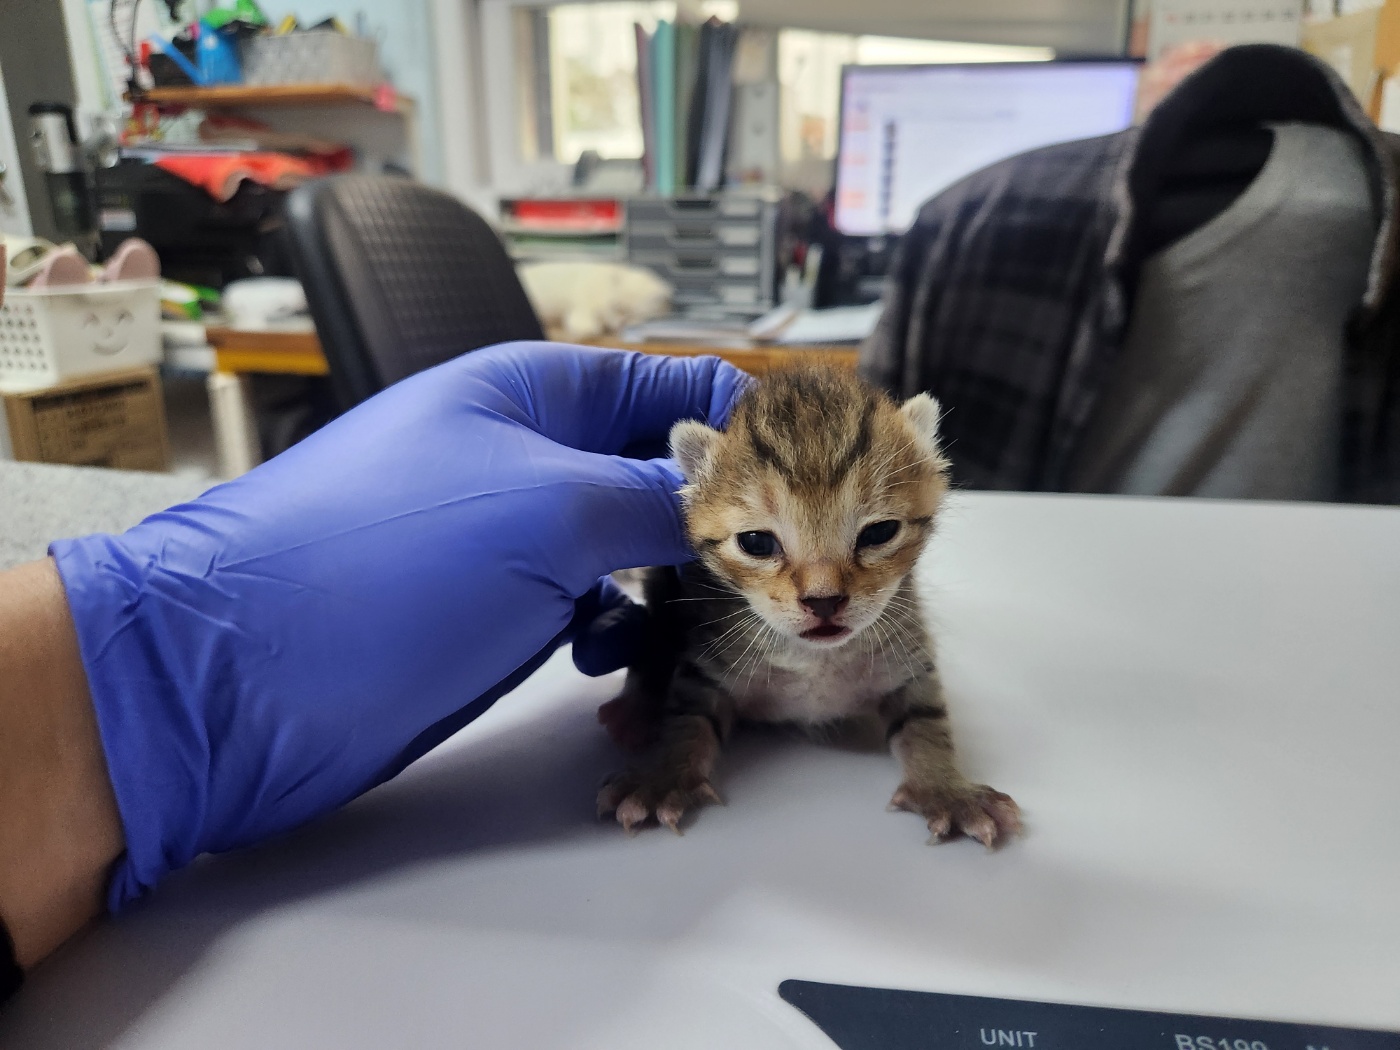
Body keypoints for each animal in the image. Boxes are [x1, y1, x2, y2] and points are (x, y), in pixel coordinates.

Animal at [596, 366, 1024, 851]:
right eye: (756, 542)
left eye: (880, 533)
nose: (824, 600)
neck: (816, 659)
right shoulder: (705, 662)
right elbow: (686, 718)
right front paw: (663, 777)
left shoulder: (908, 656)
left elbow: (926, 719)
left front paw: (947, 790)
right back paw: (635, 708)